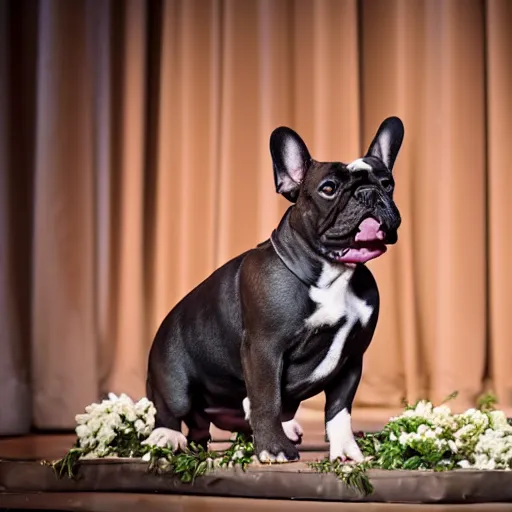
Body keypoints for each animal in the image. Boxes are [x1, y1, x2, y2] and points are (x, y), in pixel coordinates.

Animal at [144, 118, 404, 462]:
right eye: (329, 189)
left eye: (387, 184)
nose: (369, 193)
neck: (332, 274)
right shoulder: (264, 348)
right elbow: (267, 398)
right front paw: (273, 449)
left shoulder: (351, 358)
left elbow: (338, 409)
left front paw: (346, 450)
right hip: (173, 378)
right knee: (172, 409)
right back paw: (166, 435)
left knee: (204, 428)